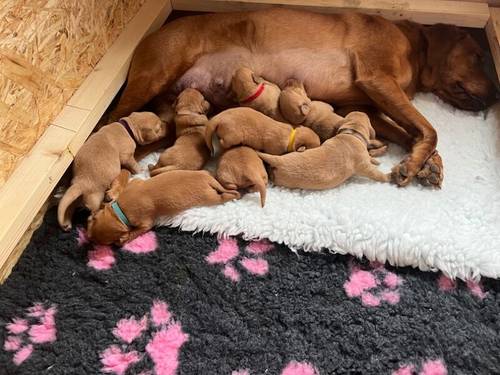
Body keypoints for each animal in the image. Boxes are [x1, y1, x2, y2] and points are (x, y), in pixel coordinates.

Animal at [87, 171, 240, 247]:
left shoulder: (145, 223)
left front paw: (124, 238)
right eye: (91, 221)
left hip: (210, 197)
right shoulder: (135, 183)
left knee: (227, 195)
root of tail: (209, 181)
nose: (88, 238)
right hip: (203, 173)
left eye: (104, 243)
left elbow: (138, 230)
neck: (119, 212)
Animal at [258, 110, 390, 189]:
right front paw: (388, 177)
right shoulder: (363, 165)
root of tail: (278, 160)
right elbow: (375, 173)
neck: (352, 133)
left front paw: (374, 159)